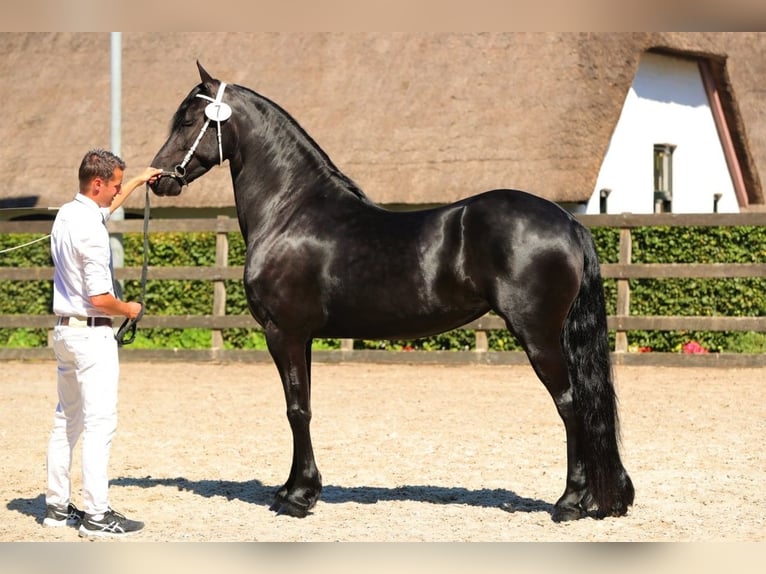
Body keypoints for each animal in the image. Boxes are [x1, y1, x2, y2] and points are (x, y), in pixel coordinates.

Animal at [150, 62, 634, 522]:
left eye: (189, 120)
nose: (159, 179)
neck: (291, 211)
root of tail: (567, 220)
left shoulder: (282, 332)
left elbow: (296, 410)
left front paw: (299, 498)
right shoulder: (302, 338)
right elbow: (302, 404)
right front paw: (292, 489)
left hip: (538, 335)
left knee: (570, 405)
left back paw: (569, 502)